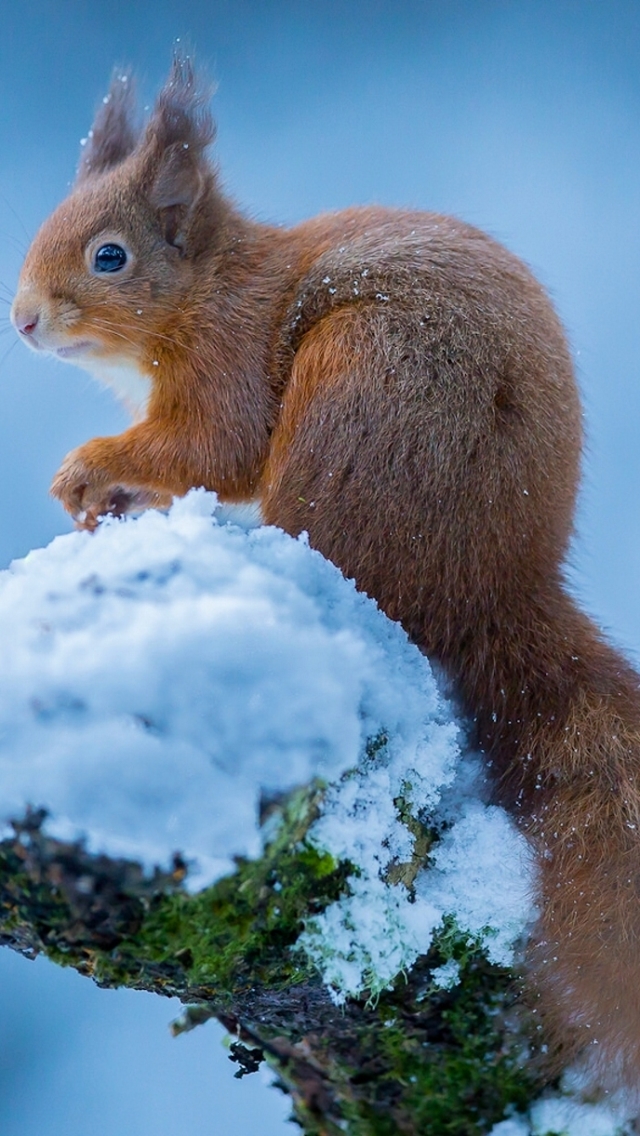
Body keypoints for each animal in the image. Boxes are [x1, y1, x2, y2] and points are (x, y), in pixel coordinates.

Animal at [11, 57, 640, 1086]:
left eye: (110, 257)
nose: (23, 320)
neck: (208, 286)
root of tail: (496, 589)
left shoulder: (226, 363)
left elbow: (213, 447)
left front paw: (88, 471)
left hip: (360, 396)